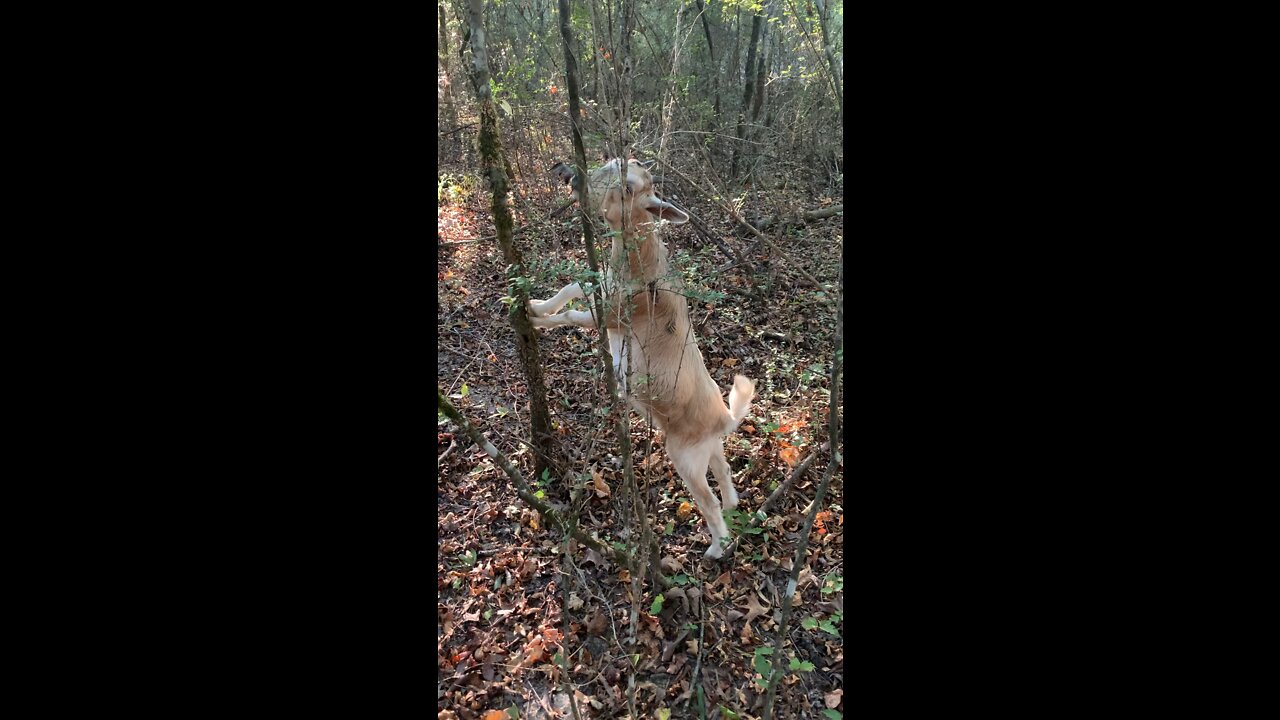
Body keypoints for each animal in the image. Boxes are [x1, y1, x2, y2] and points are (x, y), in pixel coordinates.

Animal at [527, 158, 752, 561]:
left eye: (629, 188)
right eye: (615, 163)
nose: (570, 174)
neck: (639, 262)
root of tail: (724, 419)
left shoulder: (610, 315)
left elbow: (573, 309)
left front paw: (535, 318)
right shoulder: (603, 290)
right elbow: (571, 287)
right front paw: (536, 306)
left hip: (685, 458)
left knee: (708, 501)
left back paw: (716, 547)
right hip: (709, 450)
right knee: (725, 473)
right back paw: (731, 508)